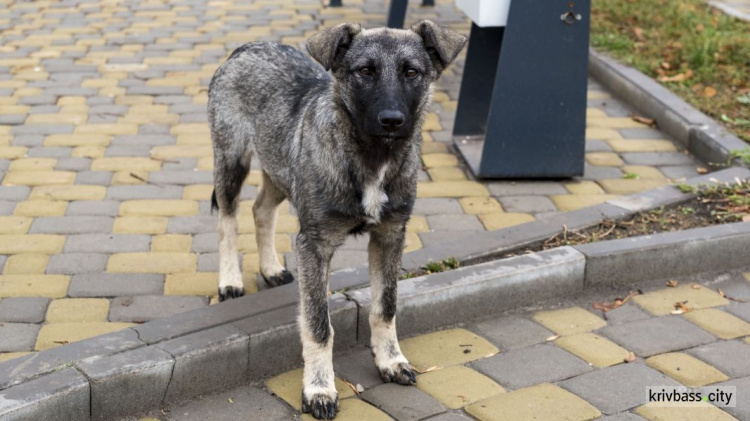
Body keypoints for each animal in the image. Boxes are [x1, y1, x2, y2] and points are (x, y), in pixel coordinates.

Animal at [209, 18, 468, 416]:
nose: (392, 121)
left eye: (412, 72)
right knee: (228, 218)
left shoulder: (390, 236)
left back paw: (270, 268)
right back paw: (230, 281)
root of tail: (247, 47)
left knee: (261, 209)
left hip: (280, 170)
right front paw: (319, 388)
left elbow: (385, 306)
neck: (372, 158)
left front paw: (390, 360)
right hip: (231, 160)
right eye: (365, 71)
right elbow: (318, 325)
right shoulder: (314, 245)